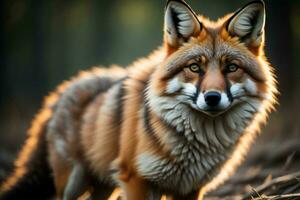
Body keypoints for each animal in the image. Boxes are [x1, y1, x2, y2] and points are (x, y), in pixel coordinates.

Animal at [0, 0, 276, 200]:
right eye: (195, 68)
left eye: (231, 68)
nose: (212, 98)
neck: (195, 146)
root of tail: (61, 91)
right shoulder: (136, 180)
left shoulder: (189, 188)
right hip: (72, 183)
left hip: (104, 186)